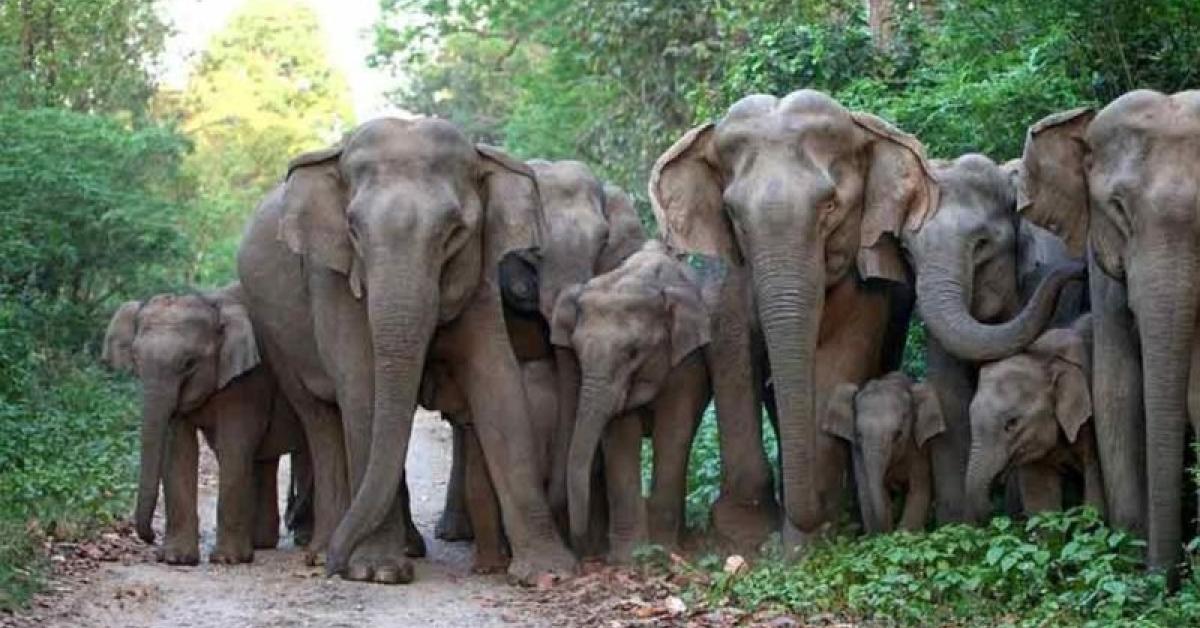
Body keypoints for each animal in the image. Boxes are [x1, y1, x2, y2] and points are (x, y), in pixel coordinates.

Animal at [102, 284, 306, 565]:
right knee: (264, 460)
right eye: (135, 358)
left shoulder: (249, 378)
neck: (212, 302)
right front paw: (176, 559)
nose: (151, 537)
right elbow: (178, 449)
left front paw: (227, 560)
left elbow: (235, 444)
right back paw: (262, 543)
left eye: (189, 363)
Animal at [237, 117, 575, 584]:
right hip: (273, 332)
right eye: (353, 229)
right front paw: (376, 571)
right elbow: (362, 387)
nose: (337, 568)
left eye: (454, 232)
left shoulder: (480, 279)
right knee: (320, 418)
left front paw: (549, 573)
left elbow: (498, 384)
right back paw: (326, 550)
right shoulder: (332, 278)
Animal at [550, 241, 712, 561]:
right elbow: (620, 437)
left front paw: (661, 550)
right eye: (576, 351)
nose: (583, 553)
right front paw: (629, 558)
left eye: (634, 352)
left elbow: (672, 433)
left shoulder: (687, 362)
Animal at [822, 372, 944, 534]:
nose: (888, 531)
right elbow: (866, 493)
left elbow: (919, 490)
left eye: (898, 434)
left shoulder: (919, 447)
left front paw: (902, 535)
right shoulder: (858, 452)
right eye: (858, 434)